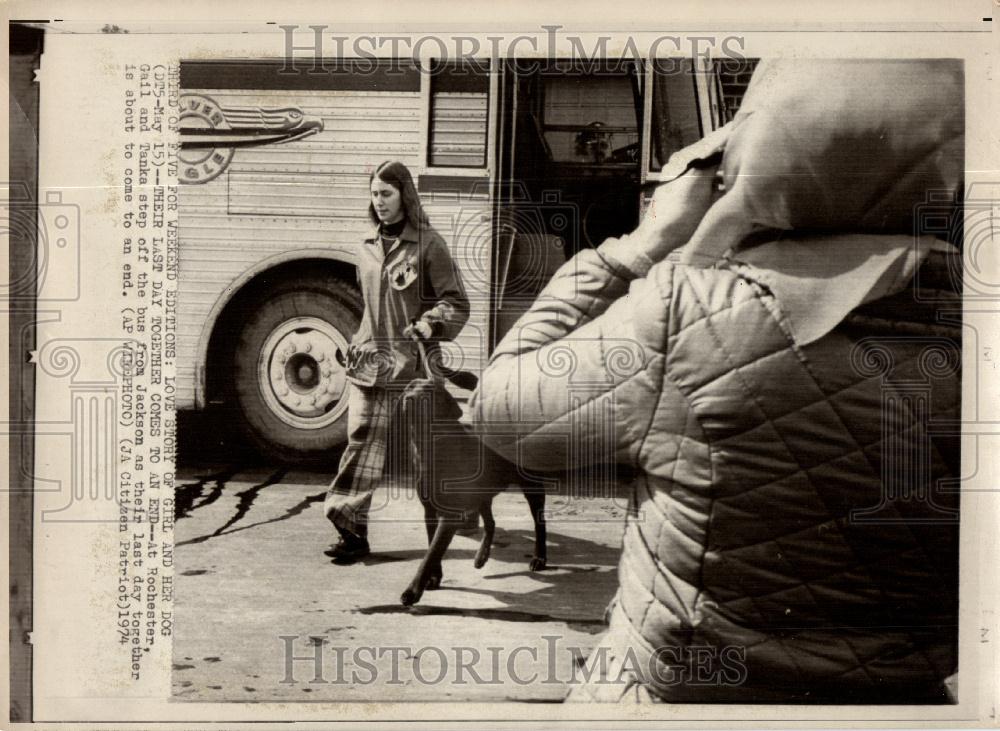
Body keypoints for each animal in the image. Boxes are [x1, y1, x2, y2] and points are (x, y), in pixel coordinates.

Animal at [392, 378, 548, 608]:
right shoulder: (429, 511)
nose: (410, 399)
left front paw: (412, 591)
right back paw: (481, 556)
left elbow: (430, 554)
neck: (430, 446)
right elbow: (432, 548)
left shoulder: (450, 515)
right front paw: (434, 578)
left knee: (540, 523)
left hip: (531, 486)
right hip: (481, 491)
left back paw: (540, 558)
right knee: (491, 523)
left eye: (430, 390)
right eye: (410, 387)